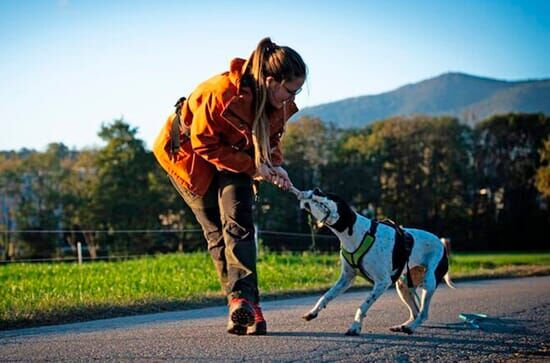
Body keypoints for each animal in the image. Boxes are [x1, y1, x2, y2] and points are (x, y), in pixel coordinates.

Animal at [300, 189, 454, 336]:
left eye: (330, 196)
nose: (315, 189)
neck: (357, 233)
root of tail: (441, 244)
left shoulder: (382, 282)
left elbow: (362, 306)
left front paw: (355, 327)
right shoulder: (346, 279)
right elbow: (326, 296)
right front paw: (313, 312)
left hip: (429, 282)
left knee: (423, 313)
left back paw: (410, 328)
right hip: (403, 286)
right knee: (415, 312)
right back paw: (402, 326)